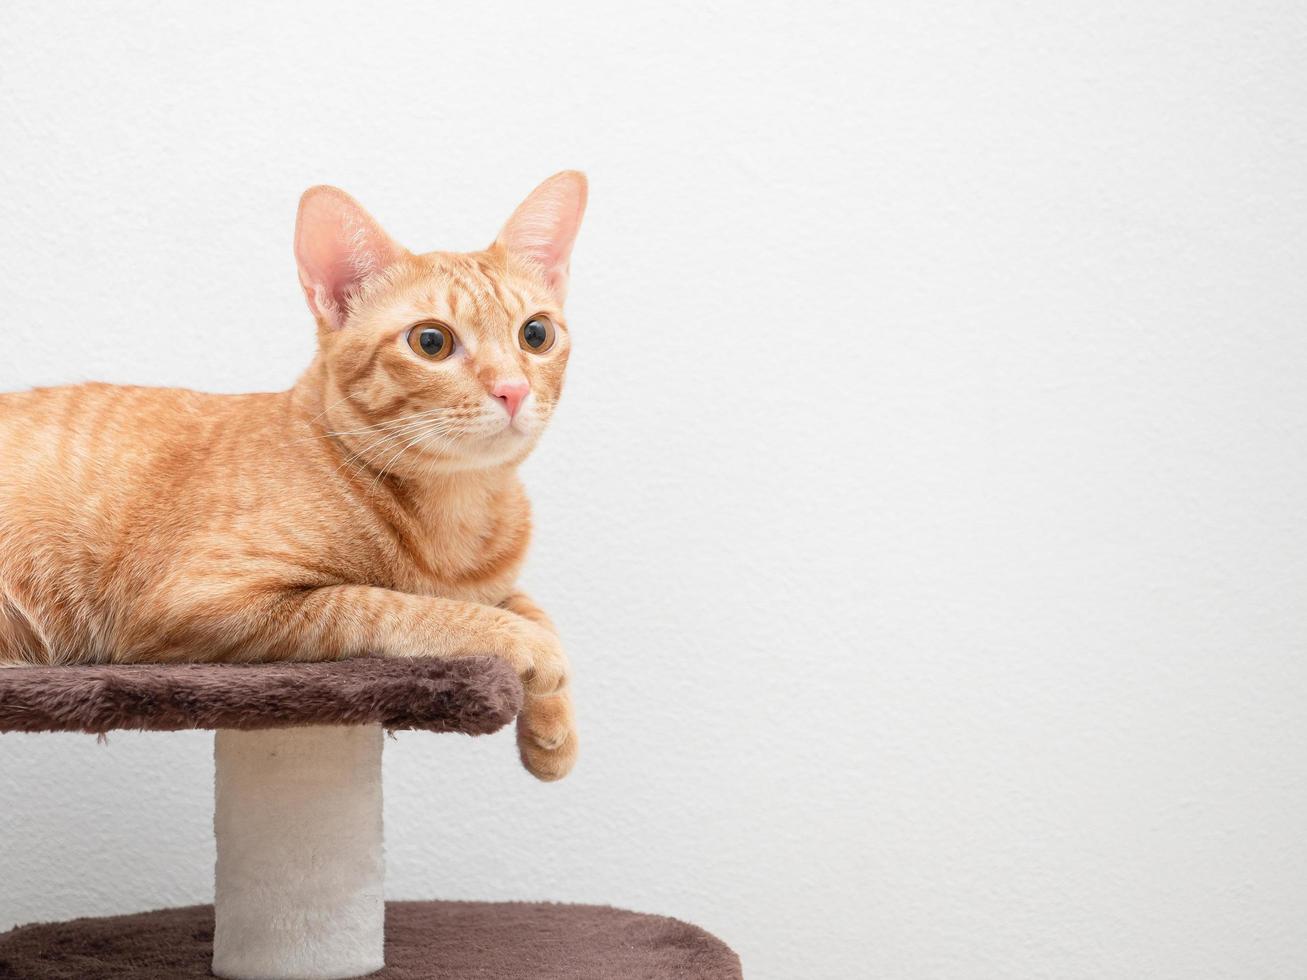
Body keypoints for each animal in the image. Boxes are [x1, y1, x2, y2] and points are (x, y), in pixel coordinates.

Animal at [0, 168, 588, 783]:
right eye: (431, 341)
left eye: (536, 335)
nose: (513, 390)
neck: (459, 512)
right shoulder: (200, 603)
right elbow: (390, 604)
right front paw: (528, 646)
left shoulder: (498, 580)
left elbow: (527, 603)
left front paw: (553, 728)